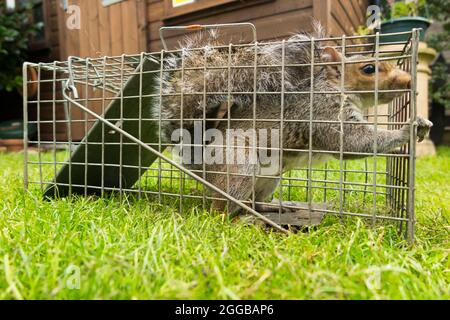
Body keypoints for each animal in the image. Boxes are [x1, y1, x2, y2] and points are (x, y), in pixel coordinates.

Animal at [153, 24, 434, 215]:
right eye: (368, 69)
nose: (409, 81)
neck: (335, 89)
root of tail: (201, 167)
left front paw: (423, 122)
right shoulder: (322, 113)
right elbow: (353, 143)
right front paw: (406, 130)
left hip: (270, 178)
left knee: (255, 201)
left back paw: (273, 208)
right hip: (239, 167)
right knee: (221, 208)